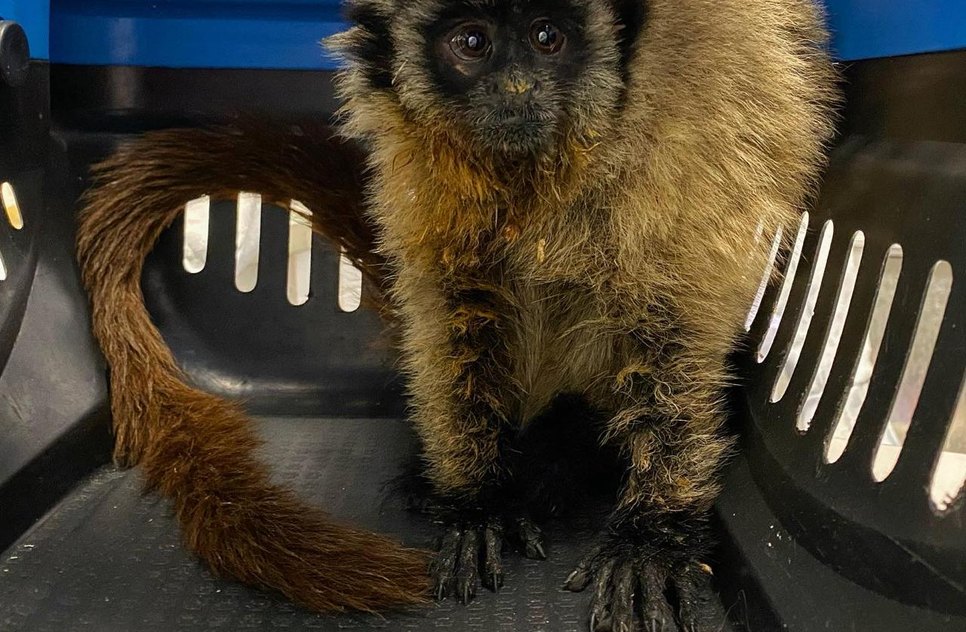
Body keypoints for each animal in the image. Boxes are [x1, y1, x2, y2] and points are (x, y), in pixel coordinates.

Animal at [75, 0, 837, 630]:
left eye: (548, 37)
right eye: (471, 42)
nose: (518, 91)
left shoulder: (688, 125)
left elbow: (675, 323)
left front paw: (651, 535)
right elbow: (452, 310)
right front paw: (476, 502)